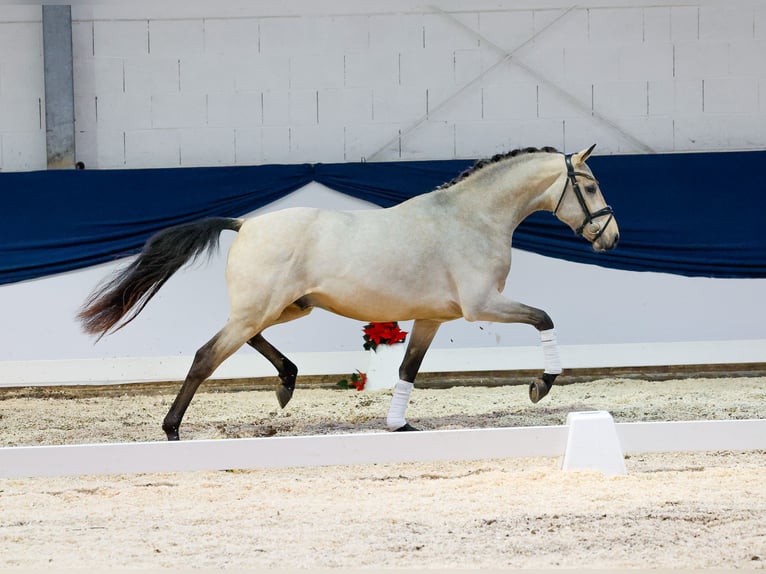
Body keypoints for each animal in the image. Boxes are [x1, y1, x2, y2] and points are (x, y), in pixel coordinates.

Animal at [78, 144, 616, 440]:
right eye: (590, 186)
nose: (610, 237)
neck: (471, 218)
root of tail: (245, 223)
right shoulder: (481, 306)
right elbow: (544, 318)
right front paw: (540, 386)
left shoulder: (431, 317)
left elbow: (407, 369)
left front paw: (399, 425)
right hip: (263, 309)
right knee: (206, 355)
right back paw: (173, 429)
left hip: (285, 308)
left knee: (244, 340)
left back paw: (286, 383)